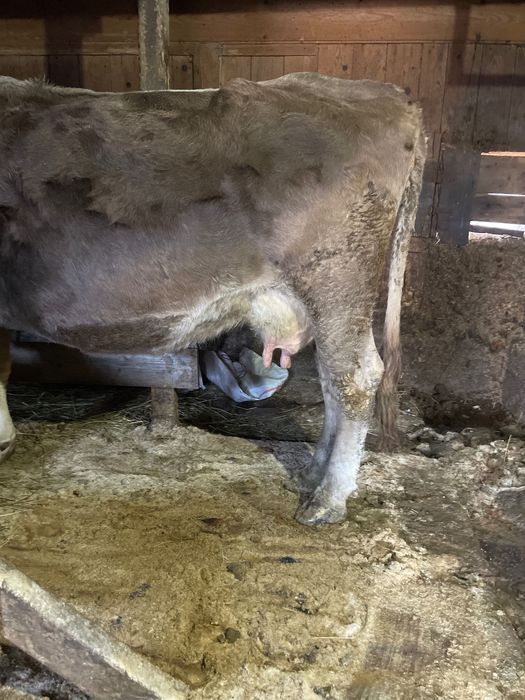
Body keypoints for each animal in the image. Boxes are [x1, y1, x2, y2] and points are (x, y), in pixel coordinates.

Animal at [0, 72, 425, 525]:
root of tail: (387, 95)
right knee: (332, 379)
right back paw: (312, 474)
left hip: (336, 281)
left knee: (354, 378)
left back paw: (328, 498)